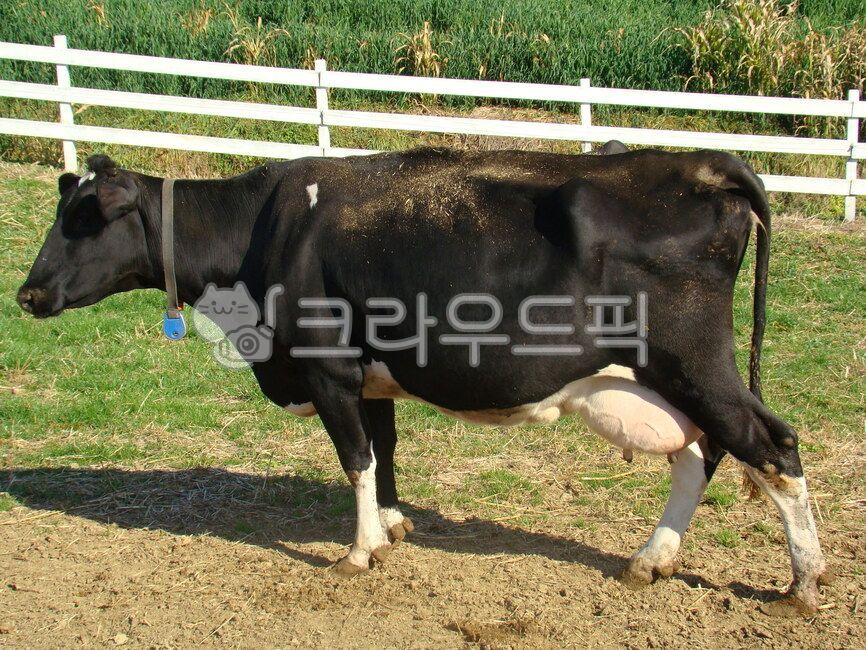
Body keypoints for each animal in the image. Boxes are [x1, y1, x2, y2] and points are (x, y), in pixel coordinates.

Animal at [16, 149, 829, 616]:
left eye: (85, 218)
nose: (26, 295)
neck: (263, 232)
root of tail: (705, 164)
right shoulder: (370, 376)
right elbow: (384, 452)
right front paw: (396, 526)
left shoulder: (326, 367)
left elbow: (353, 460)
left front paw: (360, 551)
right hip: (661, 379)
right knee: (702, 456)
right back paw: (651, 561)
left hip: (693, 363)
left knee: (774, 447)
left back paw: (801, 586)